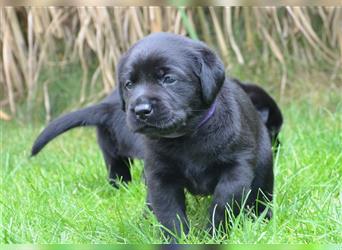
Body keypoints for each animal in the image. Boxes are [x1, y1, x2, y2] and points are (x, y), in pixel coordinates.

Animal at [32, 32, 284, 238]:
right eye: (129, 84)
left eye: (168, 79)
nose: (141, 110)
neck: (187, 136)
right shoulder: (159, 175)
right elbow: (169, 213)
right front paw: (177, 241)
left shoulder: (236, 170)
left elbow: (222, 206)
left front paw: (214, 237)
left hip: (263, 166)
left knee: (262, 193)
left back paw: (263, 218)